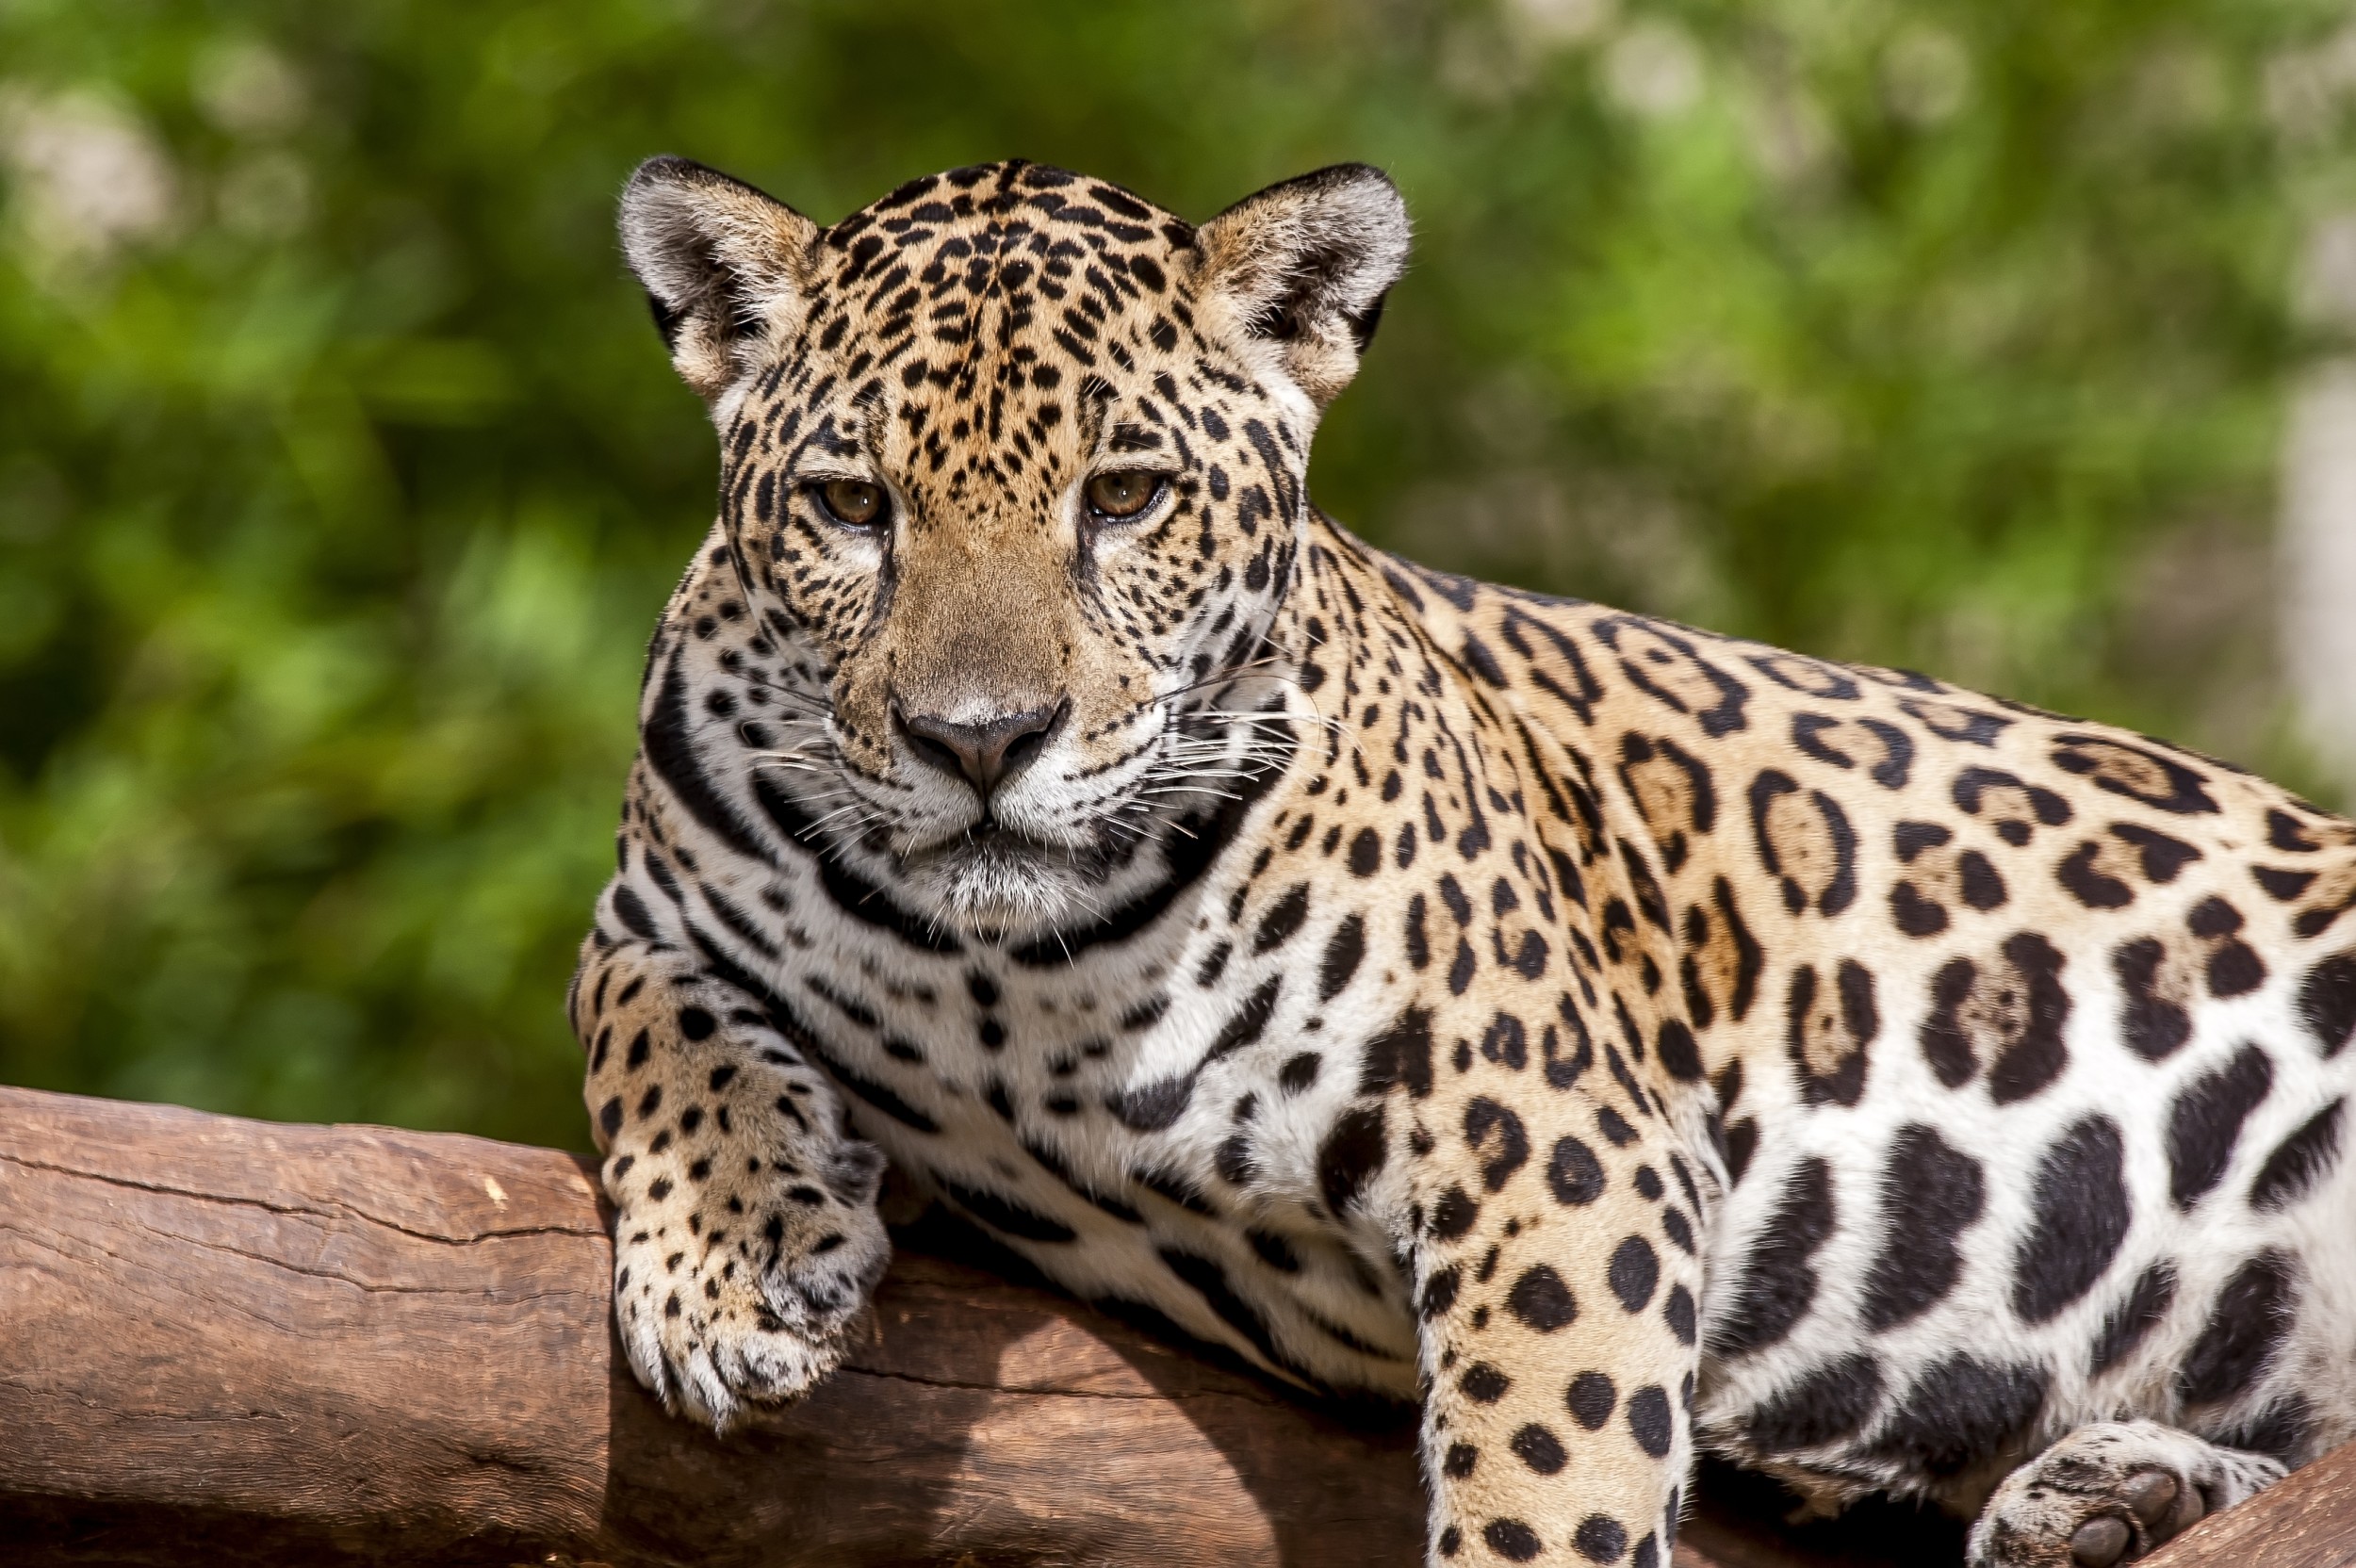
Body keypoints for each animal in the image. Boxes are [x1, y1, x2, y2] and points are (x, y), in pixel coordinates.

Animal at [569, 154, 2356, 1568]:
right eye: (851, 504)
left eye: (1128, 495)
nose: (980, 740)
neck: (1011, 970)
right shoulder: (650, 905)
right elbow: (648, 1024)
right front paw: (733, 1267)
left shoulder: (1552, 1138)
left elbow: (1548, 1456)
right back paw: (2107, 1493)